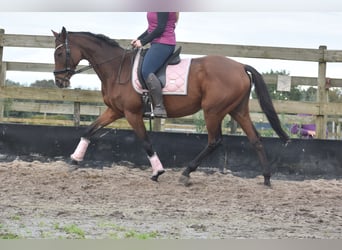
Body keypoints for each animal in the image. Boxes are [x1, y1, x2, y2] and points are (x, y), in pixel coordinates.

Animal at [52, 27, 290, 187]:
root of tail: (240, 66)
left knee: (215, 141)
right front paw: (74, 160)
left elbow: (146, 142)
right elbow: (88, 130)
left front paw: (157, 172)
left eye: (59, 53)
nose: (59, 82)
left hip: (213, 111)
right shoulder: (115, 111)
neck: (116, 67)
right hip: (238, 110)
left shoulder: (132, 113)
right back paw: (267, 178)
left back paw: (186, 173)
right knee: (255, 140)